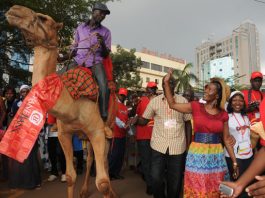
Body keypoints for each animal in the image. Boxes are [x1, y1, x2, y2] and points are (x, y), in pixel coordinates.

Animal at [5, 4, 115, 198]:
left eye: (43, 18)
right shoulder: (64, 134)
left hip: (107, 128)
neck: (73, 105)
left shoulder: (97, 131)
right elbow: (70, 176)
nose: (15, 9)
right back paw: (84, 191)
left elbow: (102, 183)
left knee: (103, 161)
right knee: (91, 159)